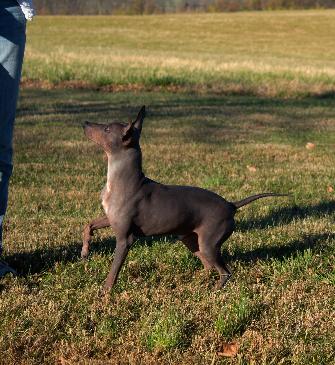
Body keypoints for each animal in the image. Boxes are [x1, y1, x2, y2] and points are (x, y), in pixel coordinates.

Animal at [82, 105, 288, 290]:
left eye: (107, 129)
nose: (85, 123)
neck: (121, 179)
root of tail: (231, 205)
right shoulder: (110, 218)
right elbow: (89, 224)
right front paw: (85, 250)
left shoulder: (125, 238)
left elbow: (114, 270)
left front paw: (105, 292)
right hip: (189, 239)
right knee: (208, 266)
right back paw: (199, 281)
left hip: (209, 244)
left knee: (225, 272)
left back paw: (213, 291)